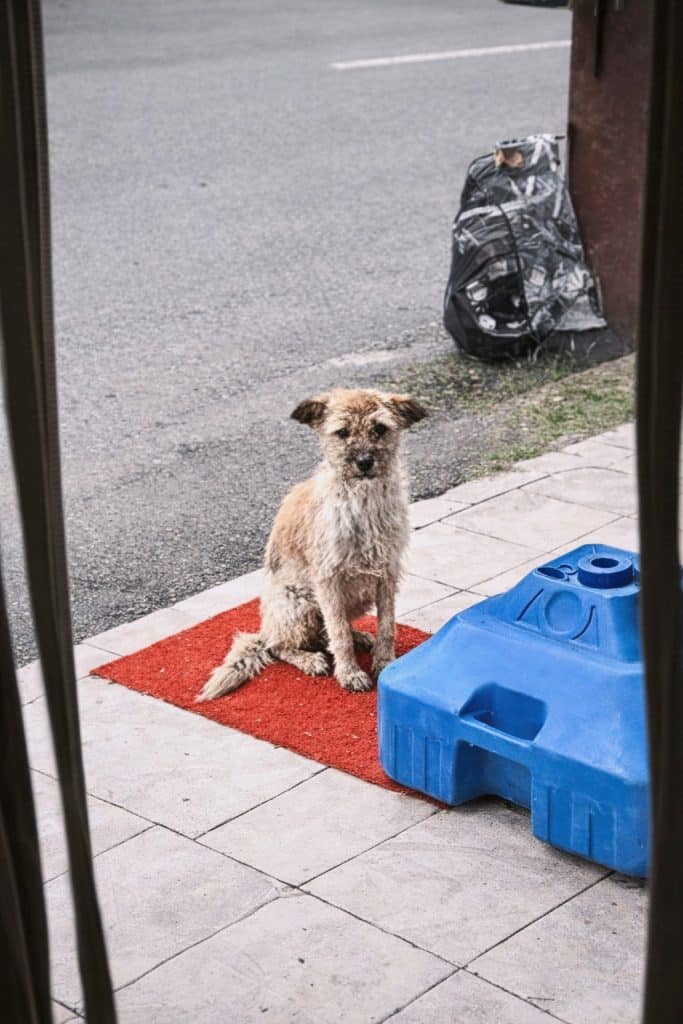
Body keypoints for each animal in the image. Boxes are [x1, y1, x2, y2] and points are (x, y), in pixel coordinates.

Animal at [197, 388, 426, 700]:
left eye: (380, 428)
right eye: (342, 432)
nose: (364, 462)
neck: (362, 501)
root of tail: (266, 627)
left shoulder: (386, 574)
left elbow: (386, 625)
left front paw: (384, 662)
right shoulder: (329, 579)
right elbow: (338, 633)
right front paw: (350, 673)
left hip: (356, 597)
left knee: (324, 632)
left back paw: (358, 637)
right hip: (299, 601)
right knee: (279, 645)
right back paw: (309, 659)